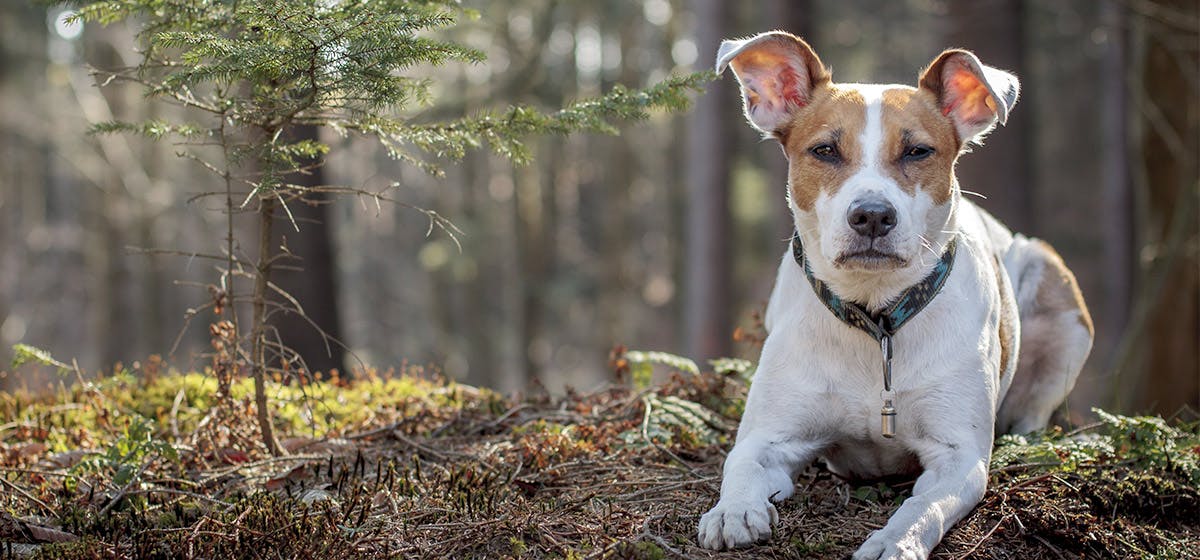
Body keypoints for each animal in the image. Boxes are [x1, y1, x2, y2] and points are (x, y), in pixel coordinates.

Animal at [696, 31, 1099, 560]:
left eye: (918, 152)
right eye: (825, 150)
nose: (871, 215)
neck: (877, 318)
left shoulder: (957, 458)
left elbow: (922, 506)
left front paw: (895, 540)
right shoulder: (771, 435)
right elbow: (740, 464)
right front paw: (734, 510)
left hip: (1056, 292)